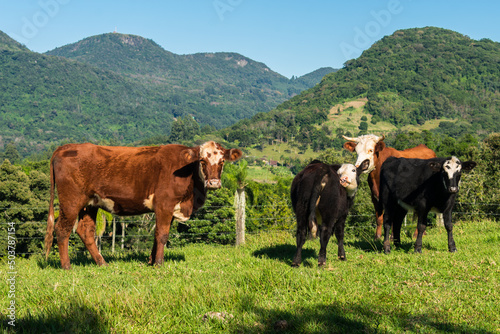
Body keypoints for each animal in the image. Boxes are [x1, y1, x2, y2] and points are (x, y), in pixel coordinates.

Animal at [44, 141, 243, 268]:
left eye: (222, 161)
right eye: (202, 160)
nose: (214, 183)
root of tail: (65, 147)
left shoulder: (170, 208)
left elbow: (157, 235)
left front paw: (151, 261)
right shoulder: (164, 204)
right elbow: (162, 235)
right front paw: (159, 264)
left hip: (90, 204)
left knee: (85, 231)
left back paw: (102, 263)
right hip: (71, 201)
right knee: (62, 230)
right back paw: (67, 266)